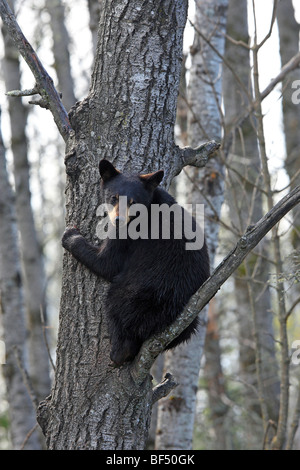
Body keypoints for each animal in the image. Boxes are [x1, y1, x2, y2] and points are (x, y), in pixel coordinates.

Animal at [62, 160, 210, 366]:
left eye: (133, 202)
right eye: (114, 197)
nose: (118, 220)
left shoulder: (127, 236)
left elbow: (107, 262)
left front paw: (70, 235)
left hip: (134, 293)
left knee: (116, 308)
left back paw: (117, 353)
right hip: (188, 322)